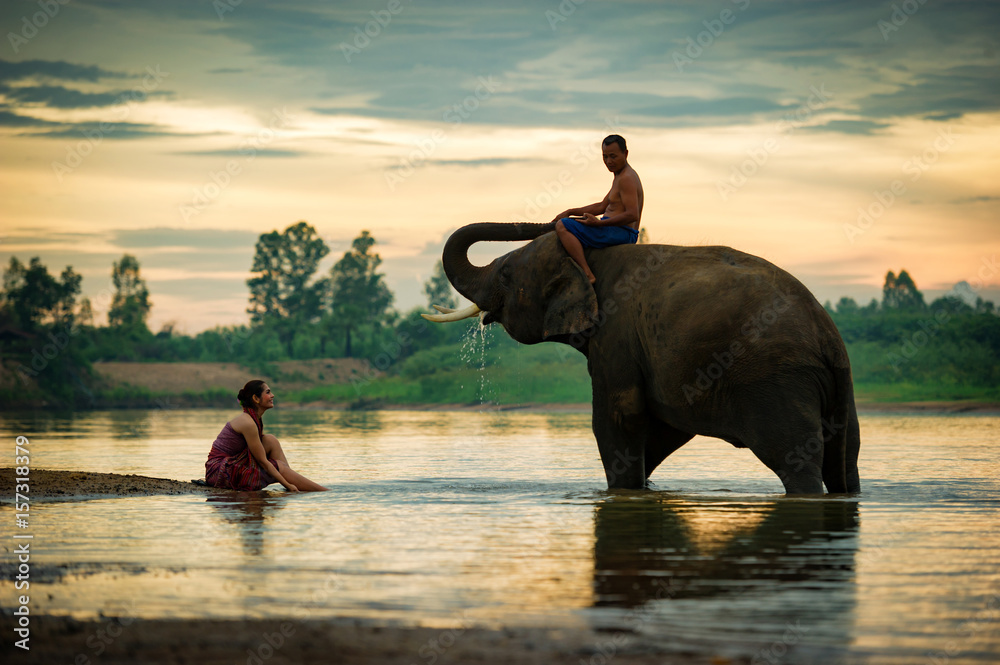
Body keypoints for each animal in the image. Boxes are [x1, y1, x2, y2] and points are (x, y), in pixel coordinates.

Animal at [422, 223, 860, 492]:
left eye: (506, 275)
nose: (560, 218)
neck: (589, 257)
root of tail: (827, 337)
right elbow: (664, 425)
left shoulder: (616, 335)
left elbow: (619, 415)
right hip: (836, 391)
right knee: (845, 461)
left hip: (777, 382)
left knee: (796, 462)